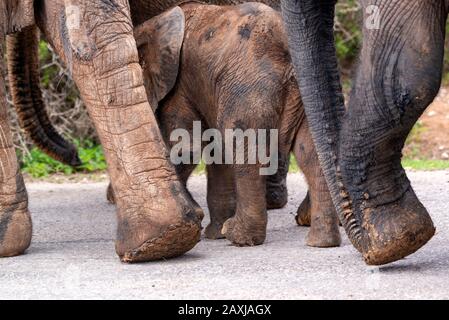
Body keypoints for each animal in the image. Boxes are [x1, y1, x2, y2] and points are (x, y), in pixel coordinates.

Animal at [126, 1, 340, 248]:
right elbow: (214, 150)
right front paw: (211, 232)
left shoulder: (180, 87)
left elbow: (187, 149)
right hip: (301, 95)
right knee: (310, 153)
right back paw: (321, 242)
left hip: (248, 88)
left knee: (245, 152)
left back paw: (238, 236)